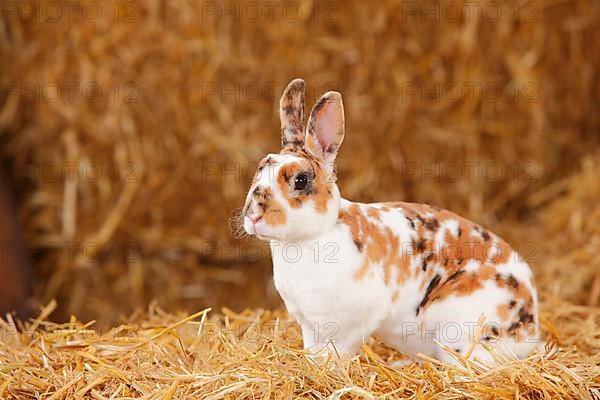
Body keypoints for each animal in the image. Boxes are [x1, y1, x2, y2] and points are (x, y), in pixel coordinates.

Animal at [241, 78, 540, 366]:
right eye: (260, 169)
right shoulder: (310, 326)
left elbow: (336, 354)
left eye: (300, 180)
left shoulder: (350, 323)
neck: (313, 236)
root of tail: (529, 330)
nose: (253, 215)